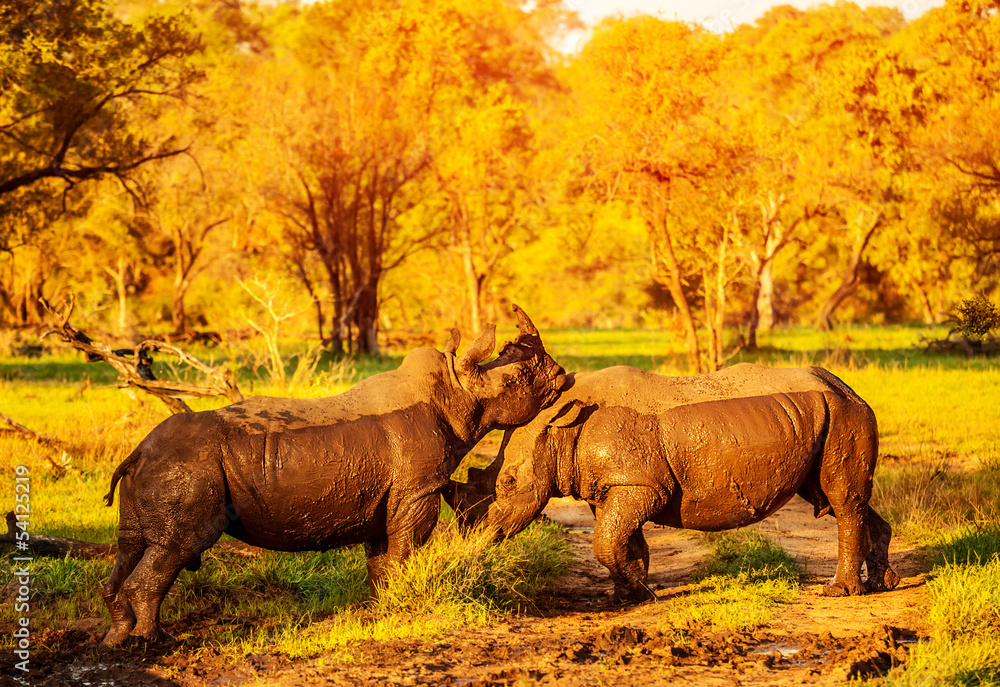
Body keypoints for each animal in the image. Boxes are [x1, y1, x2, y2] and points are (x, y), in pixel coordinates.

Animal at [100, 305, 566, 646]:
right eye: (522, 377)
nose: (562, 375)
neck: (458, 390)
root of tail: (138, 452)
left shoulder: (386, 496)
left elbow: (382, 560)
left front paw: (383, 608)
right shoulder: (417, 490)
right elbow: (406, 548)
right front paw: (401, 604)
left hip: (158, 467)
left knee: (133, 546)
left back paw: (118, 639)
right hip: (187, 469)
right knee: (175, 548)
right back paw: (153, 642)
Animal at [446, 363, 901, 603]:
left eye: (508, 483)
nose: (475, 537)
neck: (560, 427)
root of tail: (848, 387)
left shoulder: (641, 485)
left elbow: (606, 540)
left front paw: (637, 590)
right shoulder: (617, 485)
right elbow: (621, 538)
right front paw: (629, 592)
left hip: (842, 415)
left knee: (840, 498)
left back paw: (839, 592)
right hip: (820, 414)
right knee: (836, 498)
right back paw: (882, 584)